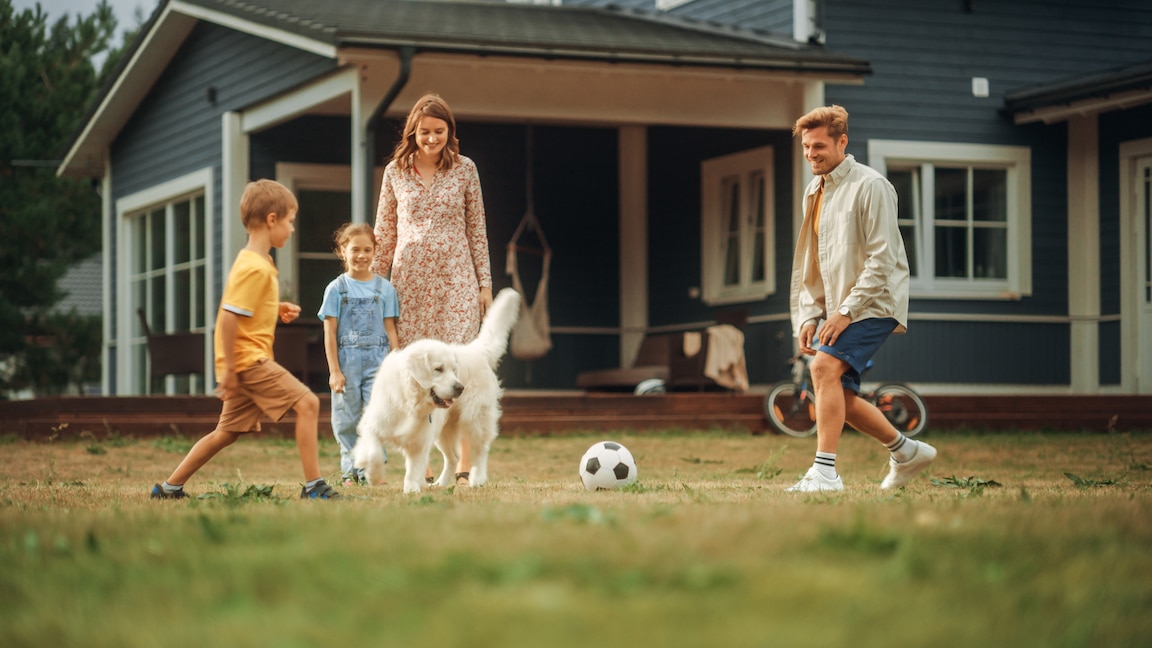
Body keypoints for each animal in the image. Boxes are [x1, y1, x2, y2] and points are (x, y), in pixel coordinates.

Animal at [350, 285, 523, 488]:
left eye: (454, 370)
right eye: (438, 369)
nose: (460, 387)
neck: (409, 401)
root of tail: (477, 349)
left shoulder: (420, 440)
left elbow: (413, 470)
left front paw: (411, 489)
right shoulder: (373, 426)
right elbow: (373, 453)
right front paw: (375, 476)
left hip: (475, 419)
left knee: (481, 449)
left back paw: (477, 478)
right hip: (446, 431)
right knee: (453, 457)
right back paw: (440, 484)